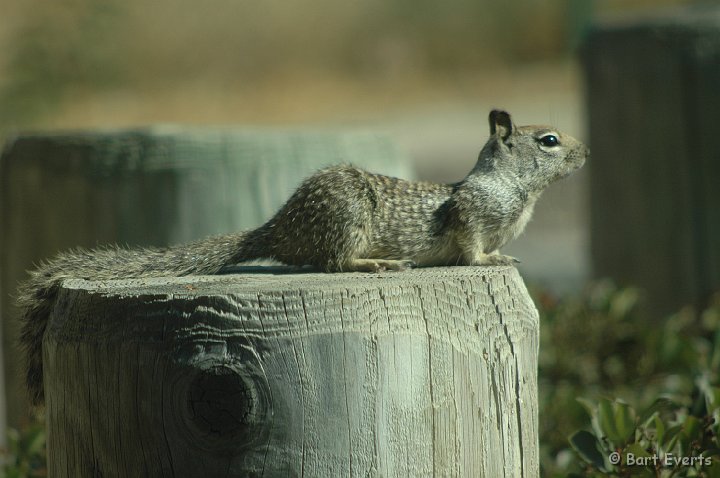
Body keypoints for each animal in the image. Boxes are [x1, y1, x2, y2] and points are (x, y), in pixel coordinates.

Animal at [16, 108, 588, 404]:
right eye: (549, 140)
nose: (585, 152)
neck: (517, 192)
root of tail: (279, 228)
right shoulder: (469, 217)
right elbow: (470, 249)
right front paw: (489, 262)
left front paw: (504, 258)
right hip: (346, 219)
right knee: (330, 262)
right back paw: (375, 264)